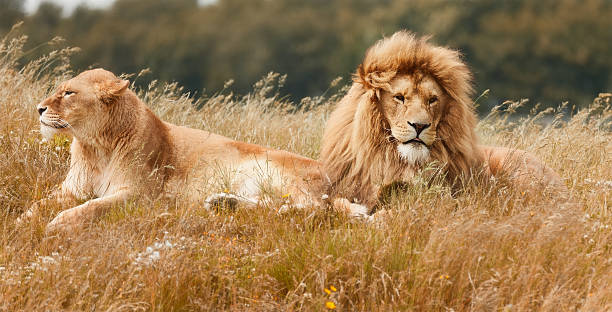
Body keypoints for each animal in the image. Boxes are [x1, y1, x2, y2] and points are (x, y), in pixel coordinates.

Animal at [23, 69, 332, 233]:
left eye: (69, 93)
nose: (38, 108)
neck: (96, 146)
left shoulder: (140, 194)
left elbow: (93, 206)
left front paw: (57, 224)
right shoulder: (71, 189)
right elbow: (39, 204)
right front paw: (23, 221)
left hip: (276, 170)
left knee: (316, 208)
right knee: (268, 205)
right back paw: (222, 203)